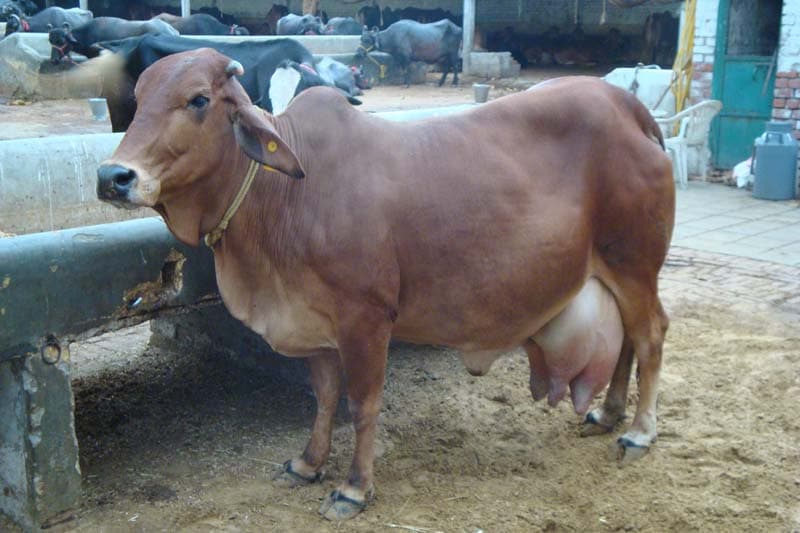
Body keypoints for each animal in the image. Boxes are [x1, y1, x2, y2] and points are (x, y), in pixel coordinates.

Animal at [97, 48, 674, 521]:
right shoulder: (313, 322)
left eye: (198, 100)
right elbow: (324, 397)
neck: (283, 196)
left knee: (649, 335)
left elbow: (362, 403)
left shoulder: (367, 319)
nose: (112, 177)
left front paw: (354, 488)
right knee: (627, 338)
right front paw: (308, 463)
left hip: (633, 264)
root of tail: (628, 105)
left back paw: (639, 431)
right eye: (138, 99)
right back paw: (607, 412)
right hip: (618, 272)